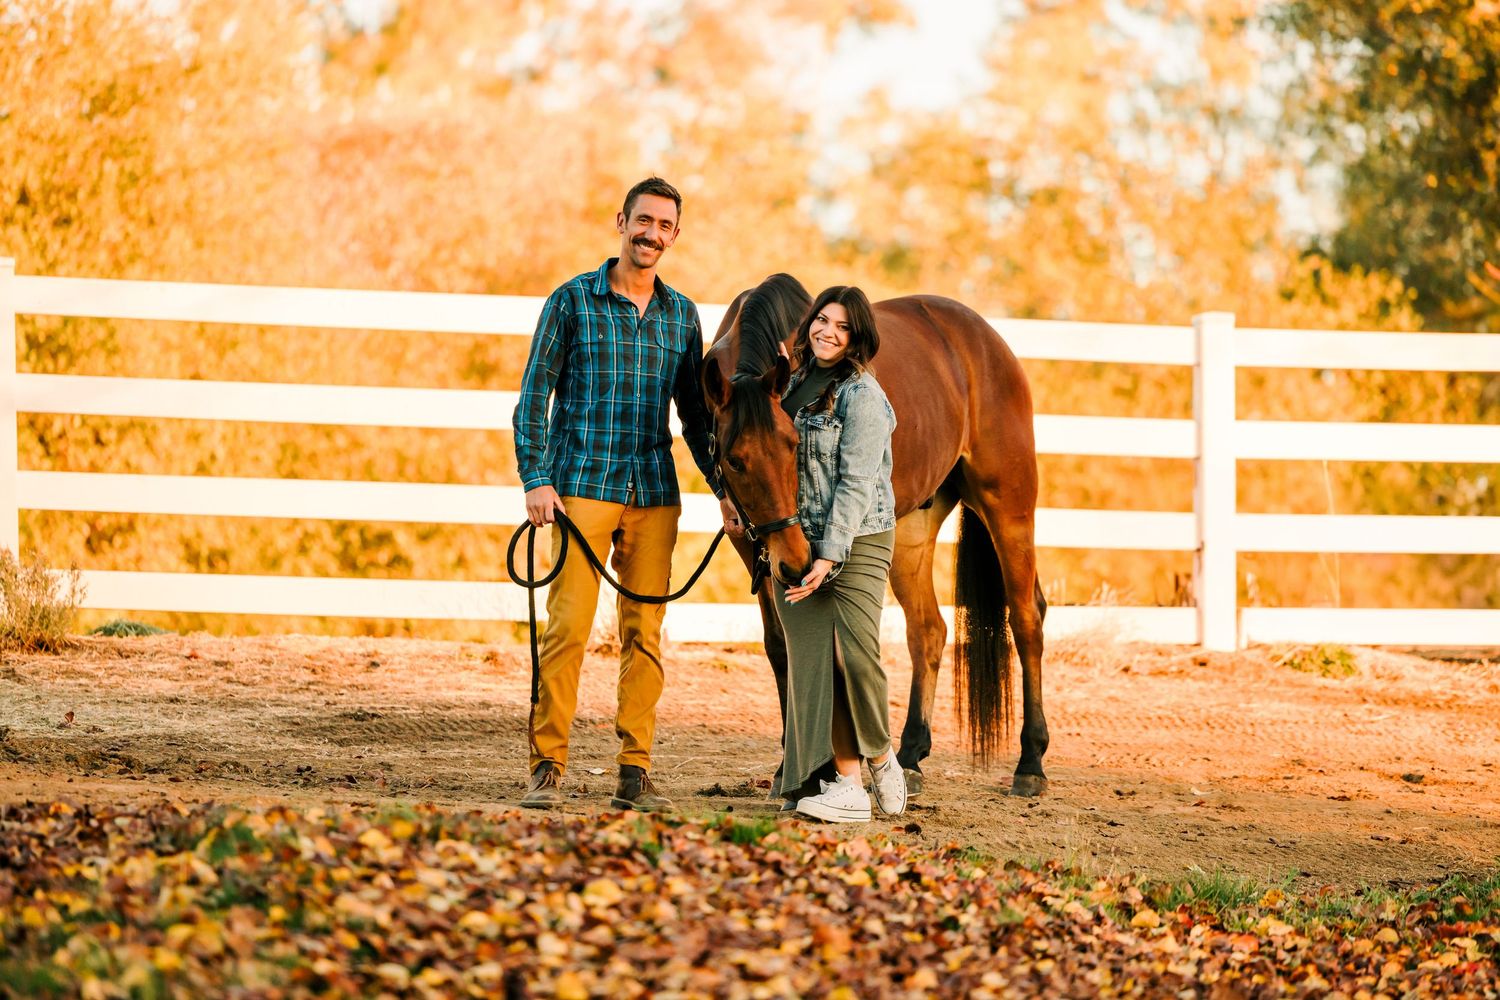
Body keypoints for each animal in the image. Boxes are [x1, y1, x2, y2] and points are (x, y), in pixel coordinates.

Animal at [700, 274, 1049, 796]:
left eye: (793, 443)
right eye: (734, 460)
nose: (795, 562)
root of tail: (988, 341)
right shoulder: (752, 543)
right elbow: (782, 647)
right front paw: (789, 768)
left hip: (1008, 507)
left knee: (1026, 620)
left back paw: (1030, 763)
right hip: (909, 535)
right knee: (929, 630)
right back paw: (911, 755)